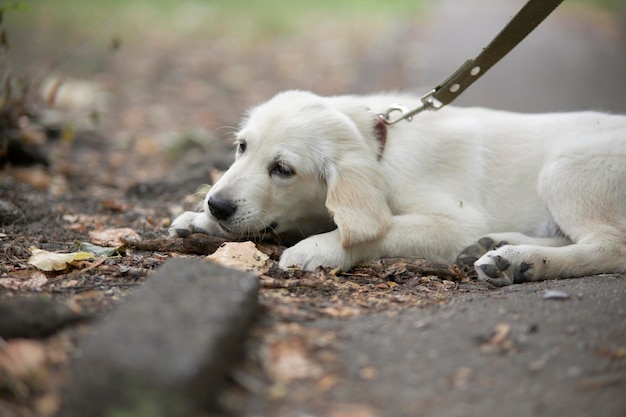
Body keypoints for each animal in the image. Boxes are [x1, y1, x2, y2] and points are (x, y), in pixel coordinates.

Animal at [171, 90, 624, 286]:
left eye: (282, 169)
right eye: (242, 147)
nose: (217, 205)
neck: (382, 149)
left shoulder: (454, 220)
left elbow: (380, 229)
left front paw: (318, 247)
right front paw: (199, 221)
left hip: (567, 168)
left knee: (612, 246)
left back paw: (517, 260)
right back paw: (496, 246)